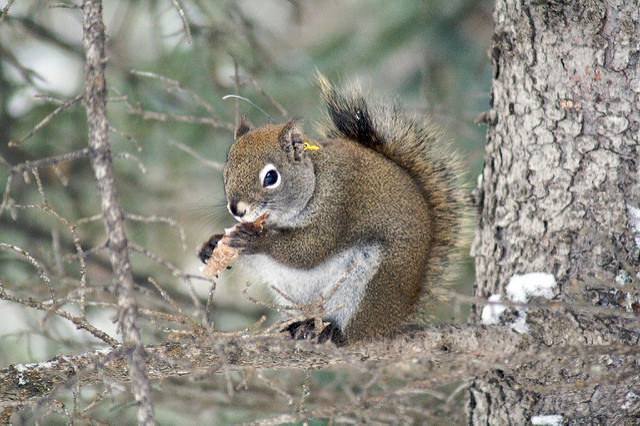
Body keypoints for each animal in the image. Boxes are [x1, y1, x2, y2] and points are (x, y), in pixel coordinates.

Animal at [199, 74, 463, 345]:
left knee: (358, 329)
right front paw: (212, 245)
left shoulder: (337, 206)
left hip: (375, 286)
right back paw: (301, 325)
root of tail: (400, 314)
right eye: (227, 170)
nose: (236, 209)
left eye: (271, 177)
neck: (315, 179)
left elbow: (309, 250)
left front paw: (255, 240)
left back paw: (335, 332)